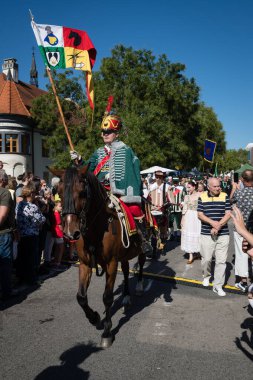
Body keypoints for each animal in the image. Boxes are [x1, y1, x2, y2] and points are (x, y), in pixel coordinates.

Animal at [55, 166, 146, 348]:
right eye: (59, 191)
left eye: (82, 192)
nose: (70, 232)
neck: (96, 229)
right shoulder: (85, 264)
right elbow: (81, 297)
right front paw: (95, 318)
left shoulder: (111, 264)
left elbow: (107, 297)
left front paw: (107, 331)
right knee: (126, 271)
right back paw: (126, 297)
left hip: (140, 250)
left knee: (140, 262)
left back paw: (139, 286)